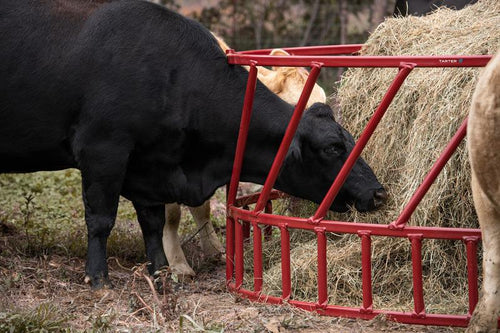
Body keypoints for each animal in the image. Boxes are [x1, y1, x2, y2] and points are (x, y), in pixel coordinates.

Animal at [0, 0, 386, 288]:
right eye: (333, 147)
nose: (379, 192)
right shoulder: (103, 151)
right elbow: (102, 218)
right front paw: (100, 278)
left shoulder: (151, 164)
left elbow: (154, 220)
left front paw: (162, 271)